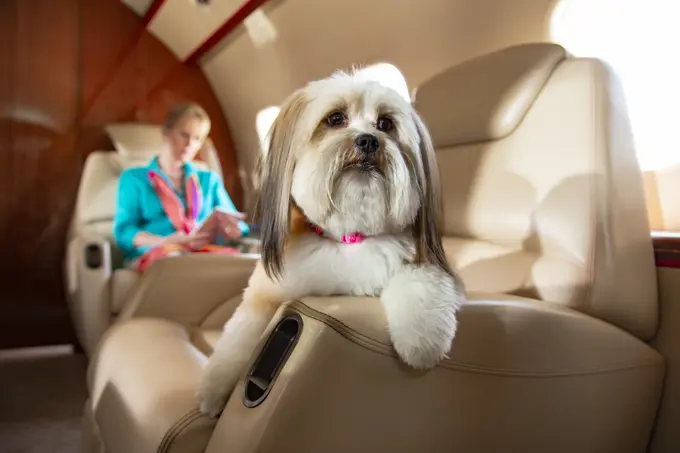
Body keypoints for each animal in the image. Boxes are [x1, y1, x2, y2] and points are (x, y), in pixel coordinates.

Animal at [194, 68, 464, 416]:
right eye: (335, 118)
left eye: (386, 124)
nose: (368, 140)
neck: (348, 238)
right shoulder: (265, 294)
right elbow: (238, 338)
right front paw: (214, 390)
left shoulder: (422, 263)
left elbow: (421, 282)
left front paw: (422, 341)